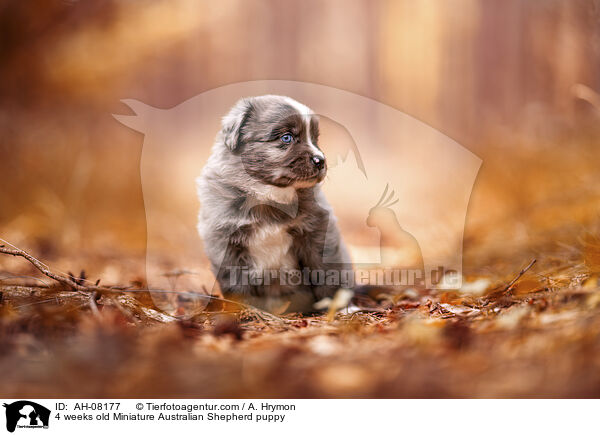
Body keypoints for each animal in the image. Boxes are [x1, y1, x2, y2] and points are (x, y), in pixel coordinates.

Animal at [197, 95, 352, 314]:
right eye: (287, 138)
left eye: (315, 138)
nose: (320, 161)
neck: (269, 195)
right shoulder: (225, 240)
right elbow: (235, 280)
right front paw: (241, 310)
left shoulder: (318, 230)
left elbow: (326, 270)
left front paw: (333, 308)